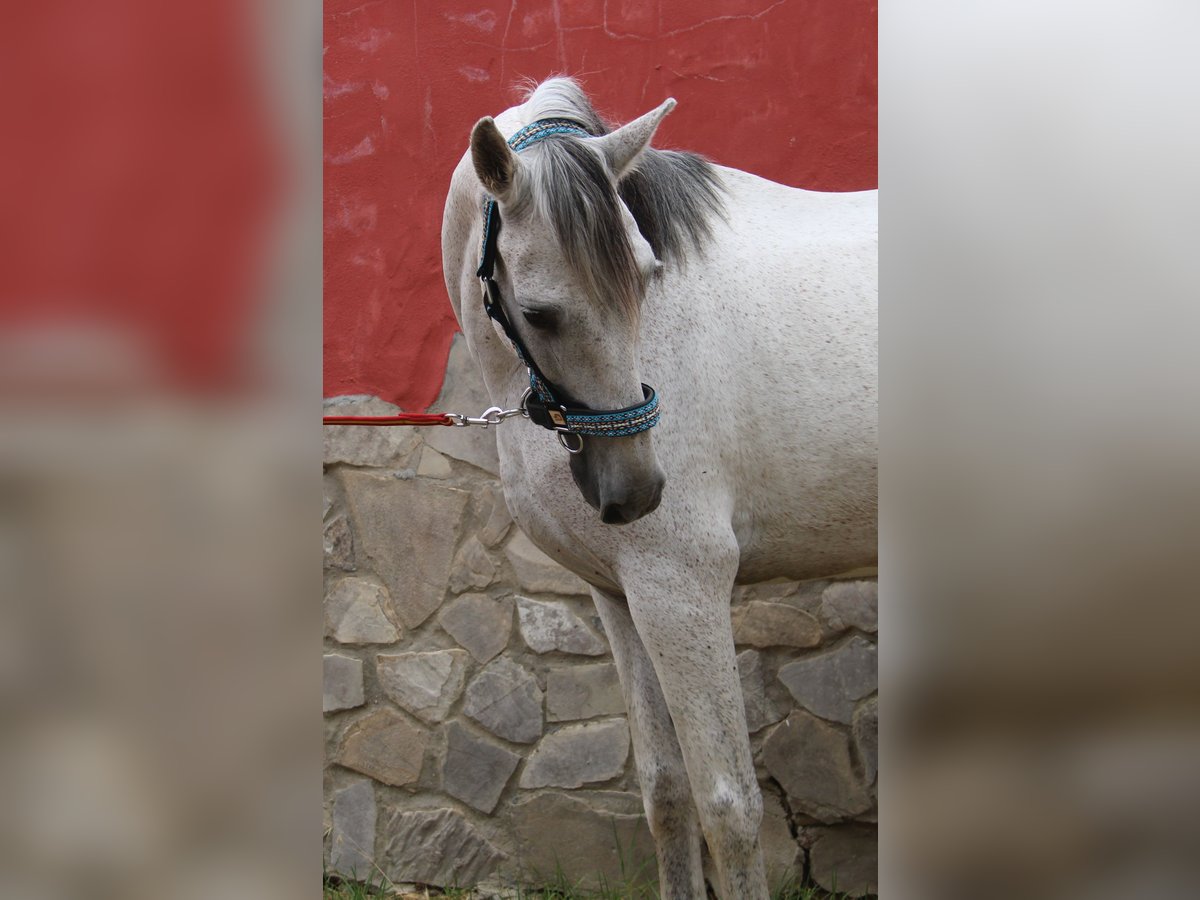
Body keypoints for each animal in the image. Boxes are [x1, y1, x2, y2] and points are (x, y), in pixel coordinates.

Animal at [446, 79, 878, 900]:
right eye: (541, 313)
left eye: (648, 277)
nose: (637, 488)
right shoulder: (620, 595)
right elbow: (667, 792)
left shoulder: (682, 587)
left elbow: (730, 809)